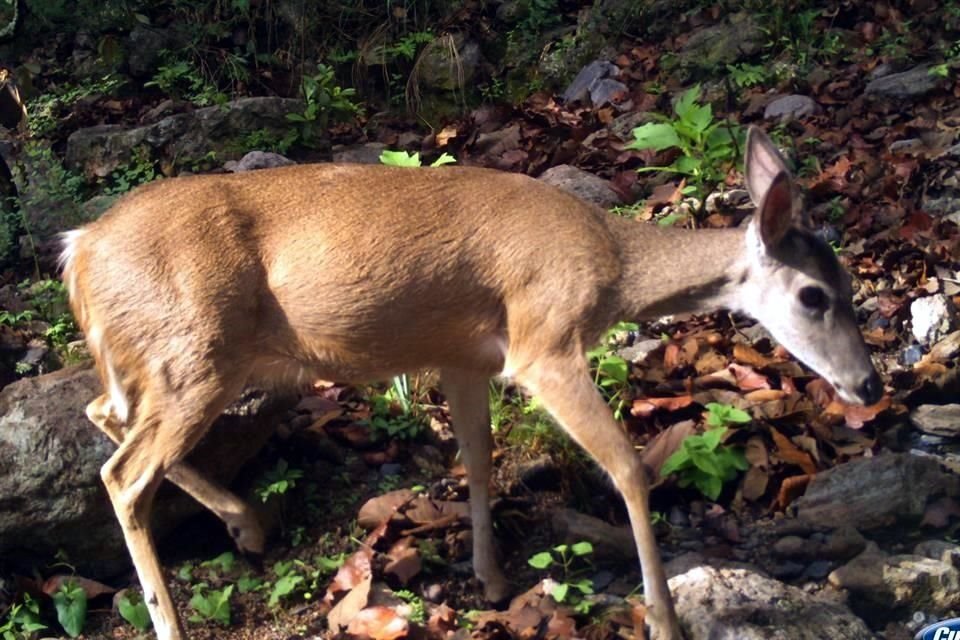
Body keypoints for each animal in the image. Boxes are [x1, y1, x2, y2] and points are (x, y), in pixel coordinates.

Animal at [60, 125, 880, 640]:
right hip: (195, 351)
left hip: (161, 360)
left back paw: (247, 523)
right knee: (125, 474)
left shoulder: (466, 356)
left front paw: (489, 578)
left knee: (103, 413)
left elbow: (480, 461)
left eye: (848, 283)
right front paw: (665, 618)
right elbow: (627, 466)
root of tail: (78, 248)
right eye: (815, 296)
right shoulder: (544, 339)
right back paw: (172, 619)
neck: (614, 266)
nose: (869, 387)